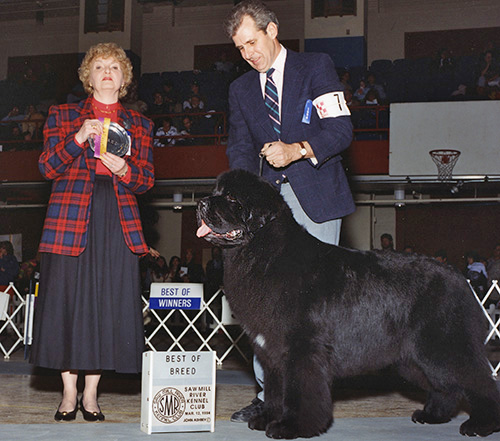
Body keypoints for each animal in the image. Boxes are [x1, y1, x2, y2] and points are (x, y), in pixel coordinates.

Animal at [196, 168, 500, 436]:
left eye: (232, 199)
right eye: (217, 192)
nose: (200, 203)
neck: (266, 253)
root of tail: (458, 277)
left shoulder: (302, 348)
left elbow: (299, 390)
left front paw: (292, 426)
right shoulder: (271, 351)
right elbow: (275, 390)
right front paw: (268, 418)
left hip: (445, 344)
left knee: (477, 379)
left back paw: (481, 424)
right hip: (415, 356)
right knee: (444, 386)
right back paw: (431, 415)